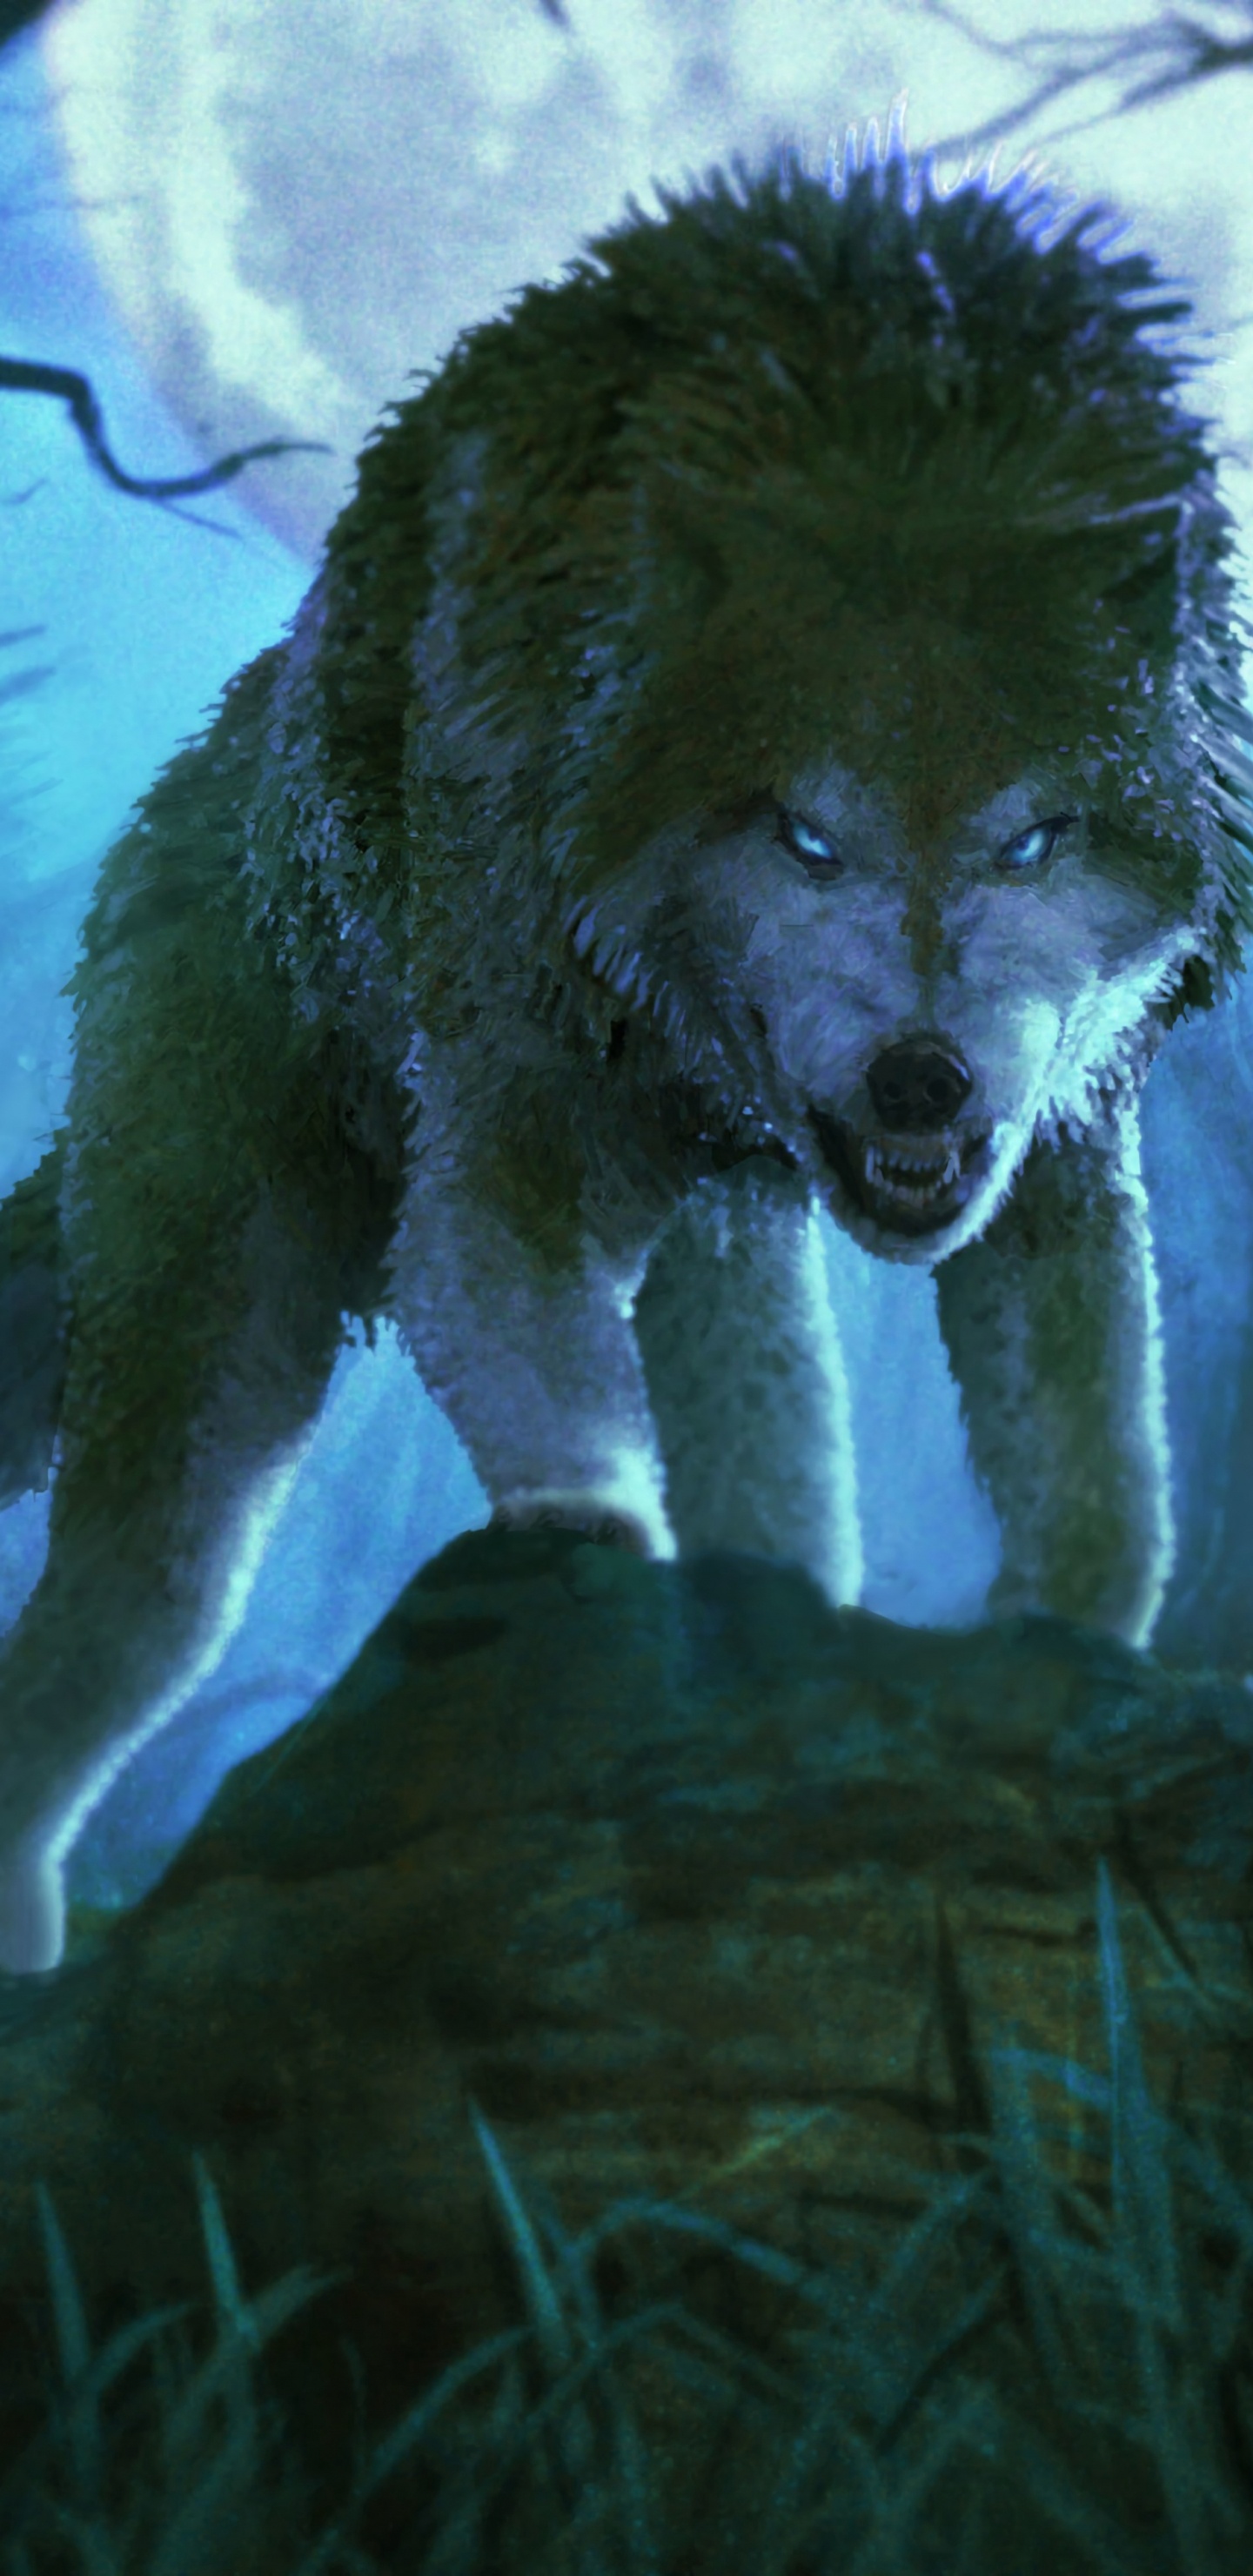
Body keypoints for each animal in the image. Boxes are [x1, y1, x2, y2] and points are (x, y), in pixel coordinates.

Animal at [0, 128, 1249, 1974]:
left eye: (1034, 840)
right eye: (806, 836)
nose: (923, 1082)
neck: (900, 424)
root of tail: (197, 771)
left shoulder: (1055, 1160)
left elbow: (1098, 1468)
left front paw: (1060, 1677)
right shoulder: (508, 1138)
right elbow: (571, 1436)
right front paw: (608, 1599)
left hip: (719, 1243)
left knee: (776, 1464)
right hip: (216, 1378)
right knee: (110, 1630)